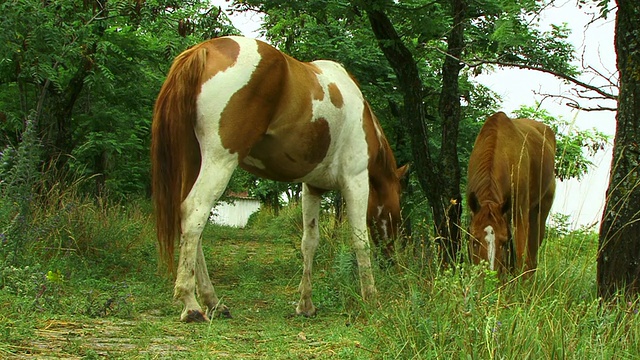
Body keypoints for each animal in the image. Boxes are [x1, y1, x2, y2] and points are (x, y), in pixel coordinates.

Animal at [152, 36, 408, 322]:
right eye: (397, 208)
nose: (392, 259)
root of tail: (203, 50)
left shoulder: (312, 187)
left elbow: (309, 242)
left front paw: (305, 304)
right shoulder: (356, 181)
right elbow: (360, 240)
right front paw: (371, 297)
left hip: (193, 160)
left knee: (187, 219)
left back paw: (213, 302)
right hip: (219, 160)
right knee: (194, 212)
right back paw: (191, 304)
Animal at [464, 112, 556, 276]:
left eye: (503, 241)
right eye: (474, 241)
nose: (489, 275)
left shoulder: (520, 214)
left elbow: (521, 257)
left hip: (539, 211)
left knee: (532, 255)